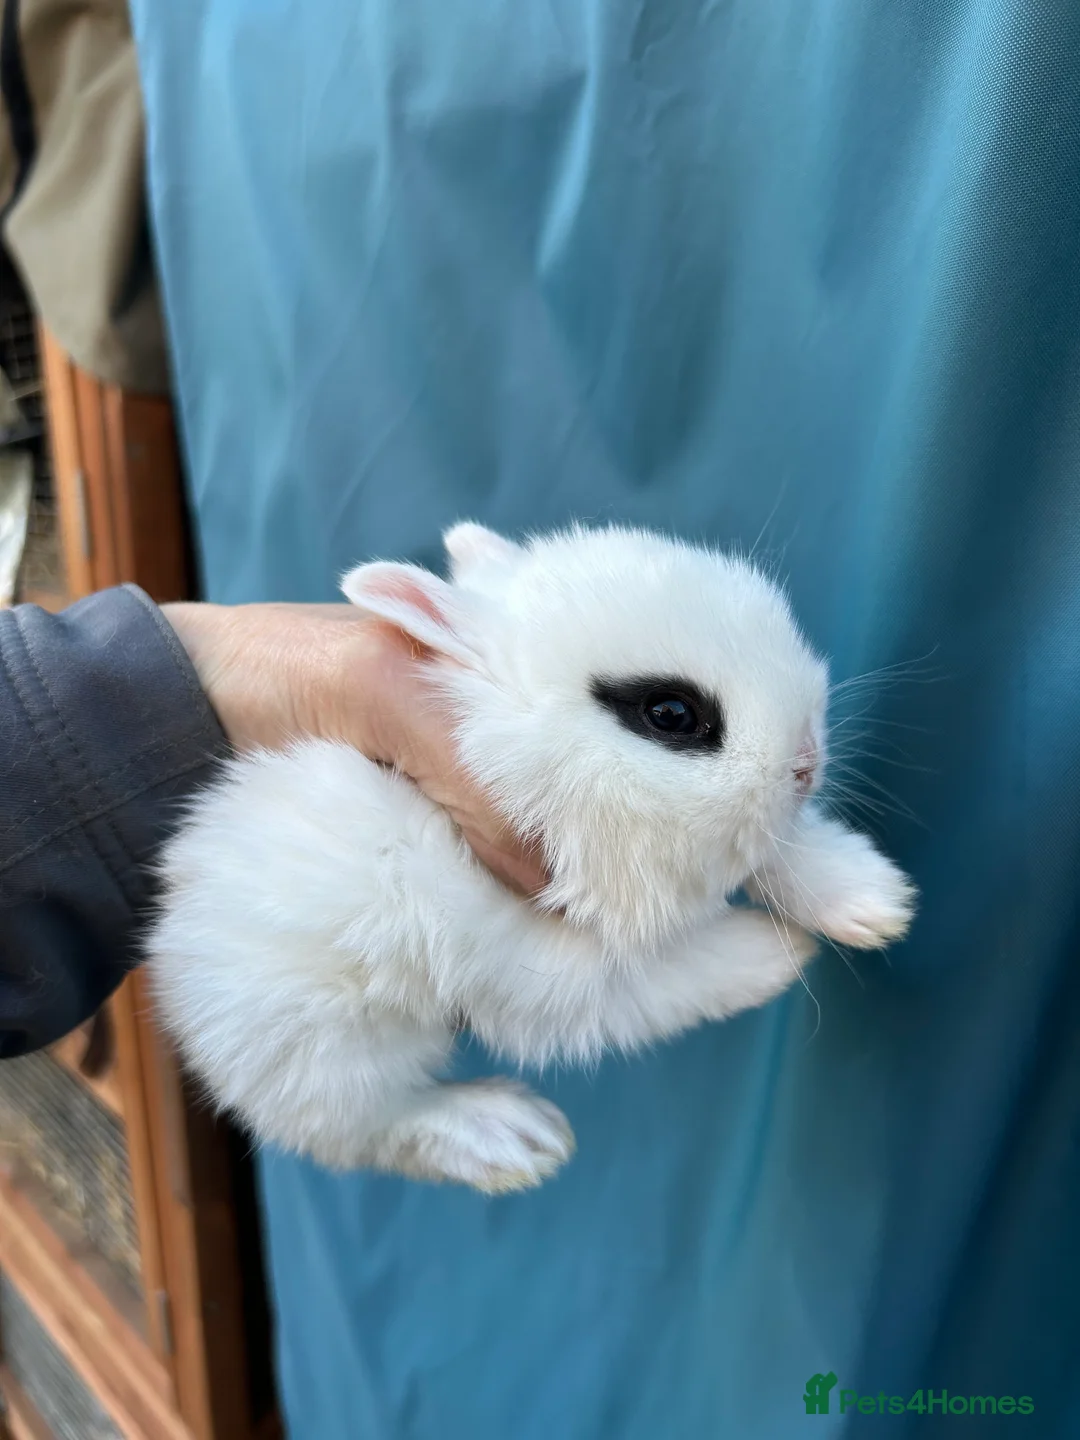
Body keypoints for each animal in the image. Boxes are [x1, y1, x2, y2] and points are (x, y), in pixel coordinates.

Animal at [148, 523, 916, 1193]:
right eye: (670, 714)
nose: (807, 762)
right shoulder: (548, 961)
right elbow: (660, 978)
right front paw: (776, 951)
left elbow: (772, 849)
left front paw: (873, 900)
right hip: (321, 1038)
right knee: (366, 1125)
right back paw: (512, 1138)